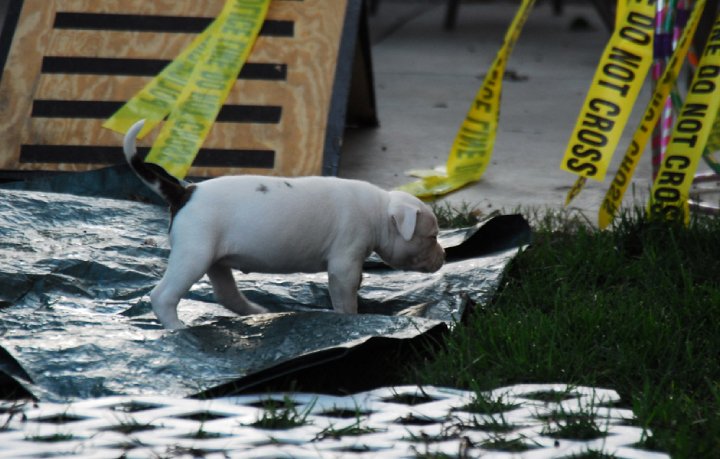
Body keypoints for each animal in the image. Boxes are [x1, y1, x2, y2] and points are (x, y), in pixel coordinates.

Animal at [124, 118, 444, 328]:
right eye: (432, 236)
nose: (444, 257)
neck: (379, 210)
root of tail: (183, 192)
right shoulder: (344, 265)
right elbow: (345, 298)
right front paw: (350, 324)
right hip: (194, 255)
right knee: (163, 296)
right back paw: (178, 329)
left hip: (214, 260)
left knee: (226, 293)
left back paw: (254, 311)